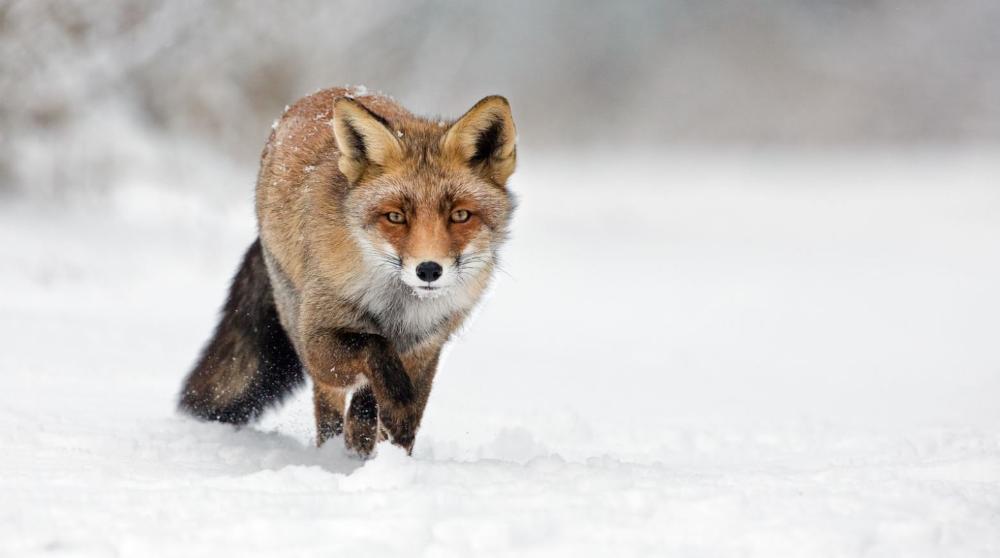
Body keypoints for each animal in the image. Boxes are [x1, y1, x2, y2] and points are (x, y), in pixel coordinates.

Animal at [180, 85, 520, 458]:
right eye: (395, 217)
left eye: (460, 215)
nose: (429, 270)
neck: (397, 309)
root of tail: (323, 93)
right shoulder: (318, 339)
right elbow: (374, 348)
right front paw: (395, 407)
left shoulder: (427, 344)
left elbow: (406, 406)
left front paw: (395, 449)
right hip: (297, 320)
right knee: (329, 403)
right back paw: (332, 451)